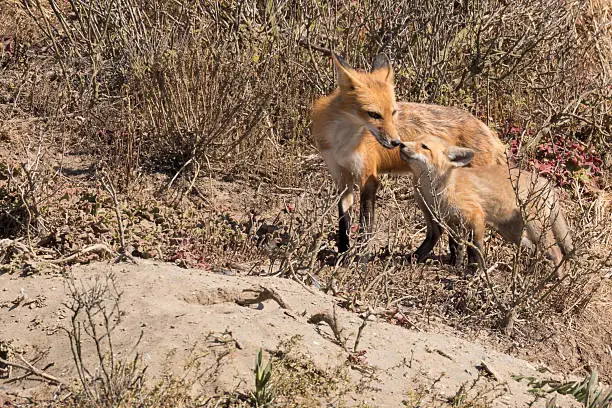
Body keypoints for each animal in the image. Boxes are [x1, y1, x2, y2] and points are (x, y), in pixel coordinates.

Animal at [314, 54, 504, 252]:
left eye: (393, 112)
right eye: (374, 114)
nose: (397, 142)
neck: (345, 142)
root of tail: (487, 129)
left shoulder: (369, 177)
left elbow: (366, 224)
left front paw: (359, 255)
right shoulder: (342, 177)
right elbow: (343, 222)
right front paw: (343, 252)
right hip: (422, 193)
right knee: (437, 230)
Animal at [396, 139, 572, 270]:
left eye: (424, 146)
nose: (400, 144)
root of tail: (545, 182)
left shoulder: (476, 216)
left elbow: (476, 248)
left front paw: (477, 271)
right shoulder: (438, 221)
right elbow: (444, 246)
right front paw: (413, 259)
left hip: (535, 226)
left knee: (556, 252)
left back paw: (558, 279)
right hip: (512, 234)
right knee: (536, 250)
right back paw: (531, 269)